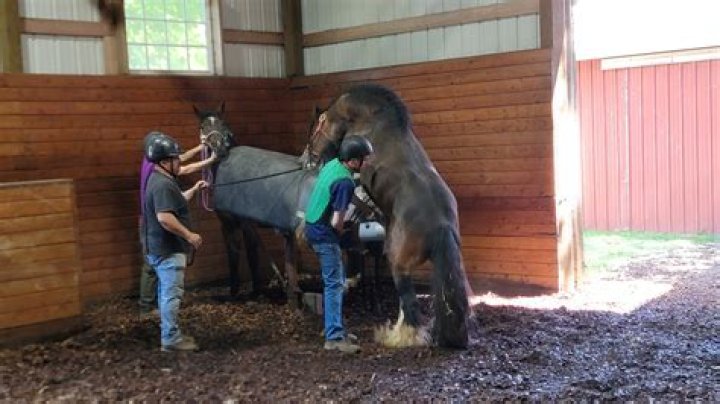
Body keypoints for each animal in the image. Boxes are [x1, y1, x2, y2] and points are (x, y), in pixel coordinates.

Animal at [308, 83, 472, 349]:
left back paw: (397, 337)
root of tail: (441, 226)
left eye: (314, 130)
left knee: (409, 304)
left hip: (398, 263)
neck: (370, 118)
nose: (308, 159)